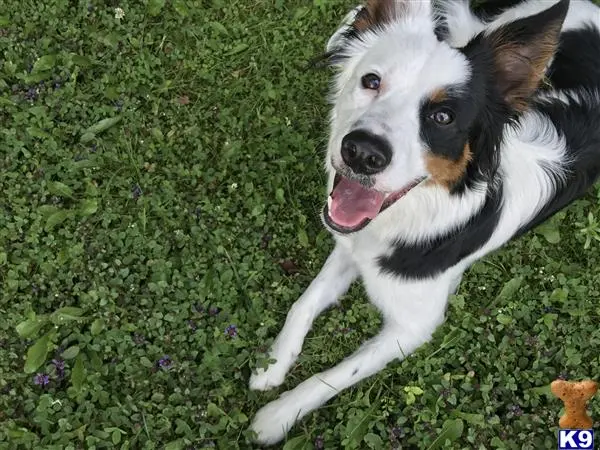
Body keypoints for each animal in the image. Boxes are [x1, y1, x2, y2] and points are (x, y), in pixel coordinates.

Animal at [248, 0, 600, 442]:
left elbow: (337, 374)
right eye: (372, 80)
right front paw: (272, 365)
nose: (362, 153)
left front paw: (275, 417)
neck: (417, 213)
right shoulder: (351, 245)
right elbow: (303, 303)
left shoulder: (414, 327)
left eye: (443, 117)